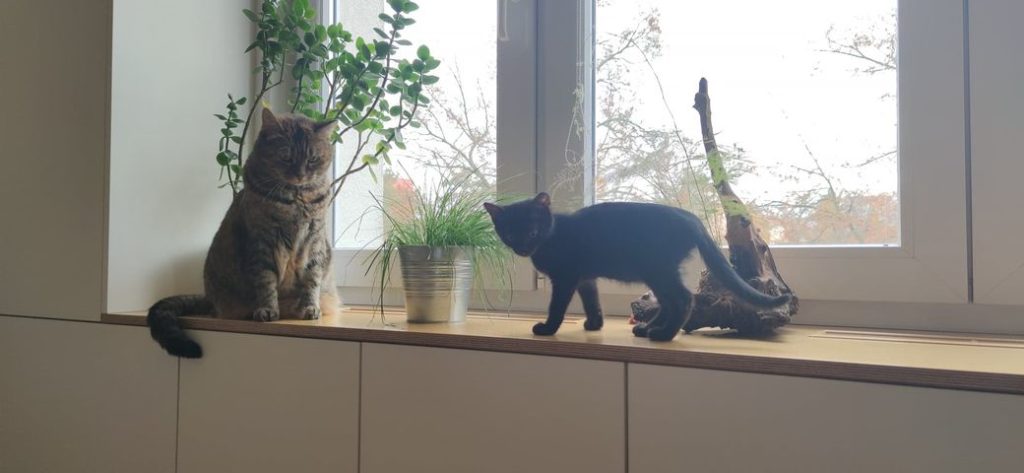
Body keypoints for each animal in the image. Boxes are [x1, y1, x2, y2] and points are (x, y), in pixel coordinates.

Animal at [147, 108, 340, 358]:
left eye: (313, 159)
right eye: (285, 157)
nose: (300, 175)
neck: (295, 199)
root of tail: (209, 297)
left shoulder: (314, 241)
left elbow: (312, 278)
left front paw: (310, 307)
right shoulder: (261, 243)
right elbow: (265, 281)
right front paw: (267, 310)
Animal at [484, 193, 790, 342]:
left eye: (532, 231)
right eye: (509, 234)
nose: (522, 247)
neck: (553, 234)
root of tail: (690, 217)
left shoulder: (566, 278)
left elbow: (556, 306)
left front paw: (547, 328)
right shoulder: (585, 278)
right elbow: (592, 301)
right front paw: (594, 324)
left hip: (657, 267)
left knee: (683, 298)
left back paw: (663, 335)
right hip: (656, 271)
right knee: (669, 301)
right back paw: (648, 329)